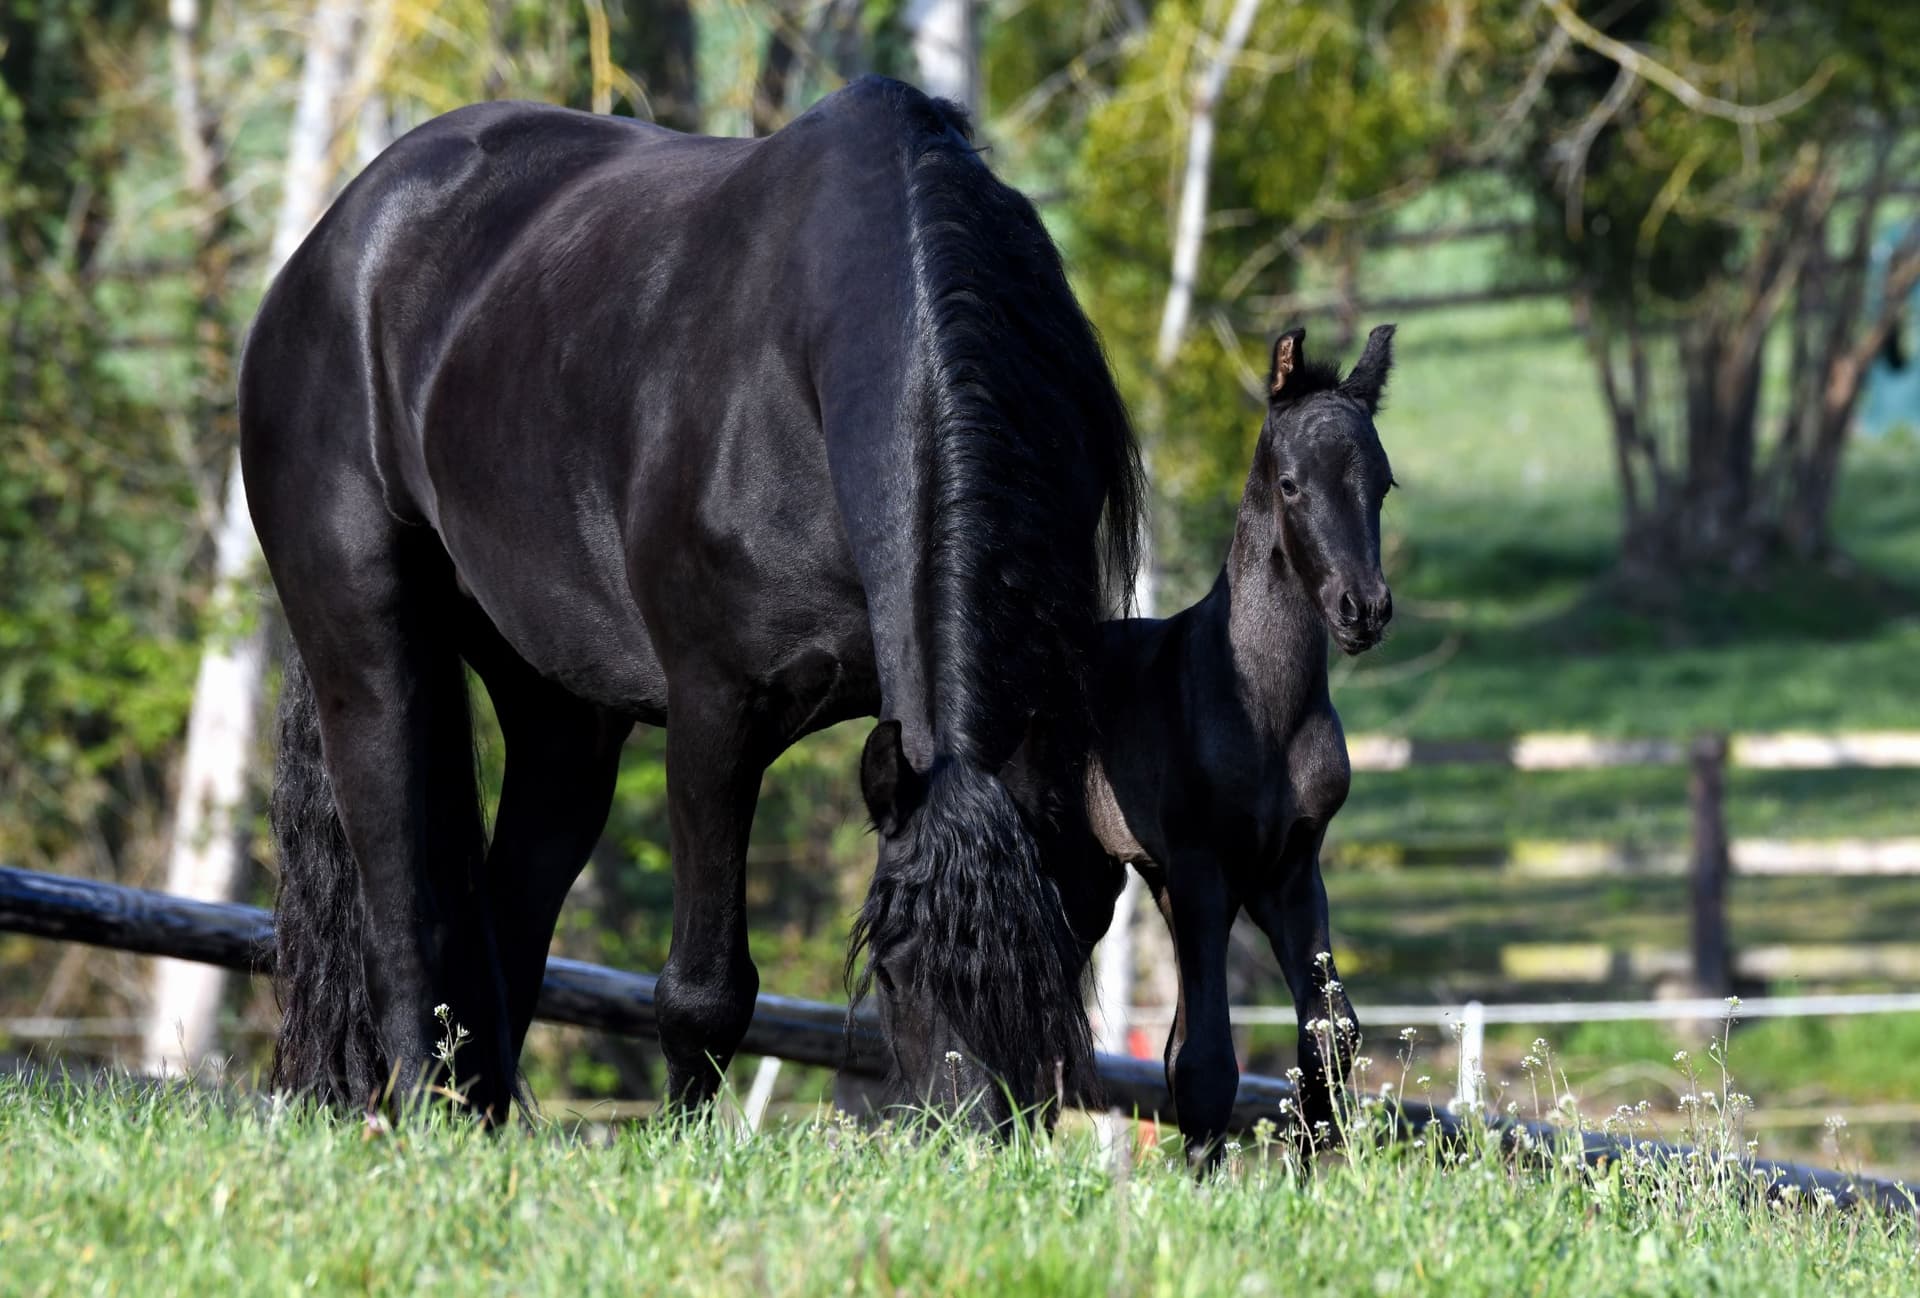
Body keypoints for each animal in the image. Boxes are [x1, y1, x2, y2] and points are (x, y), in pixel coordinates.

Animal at [242, 76, 1143, 1126]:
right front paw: (682, 1147)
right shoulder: (719, 713)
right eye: (894, 969)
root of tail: (339, 236)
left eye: (1061, 955)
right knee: (406, 916)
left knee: (503, 926)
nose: (964, 1140)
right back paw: (427, 1116)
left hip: (561, 717)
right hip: (371, 650)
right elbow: (703, 991)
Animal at [1085, 324, 1396, 1163]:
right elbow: (1207, 1061)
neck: (1261, 707)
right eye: (1290, 485)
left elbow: (1331, 1034)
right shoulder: (1204, 867)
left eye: (1384, 484)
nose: (1363, 609)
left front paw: (1309, 1166)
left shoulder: (1286, 872)